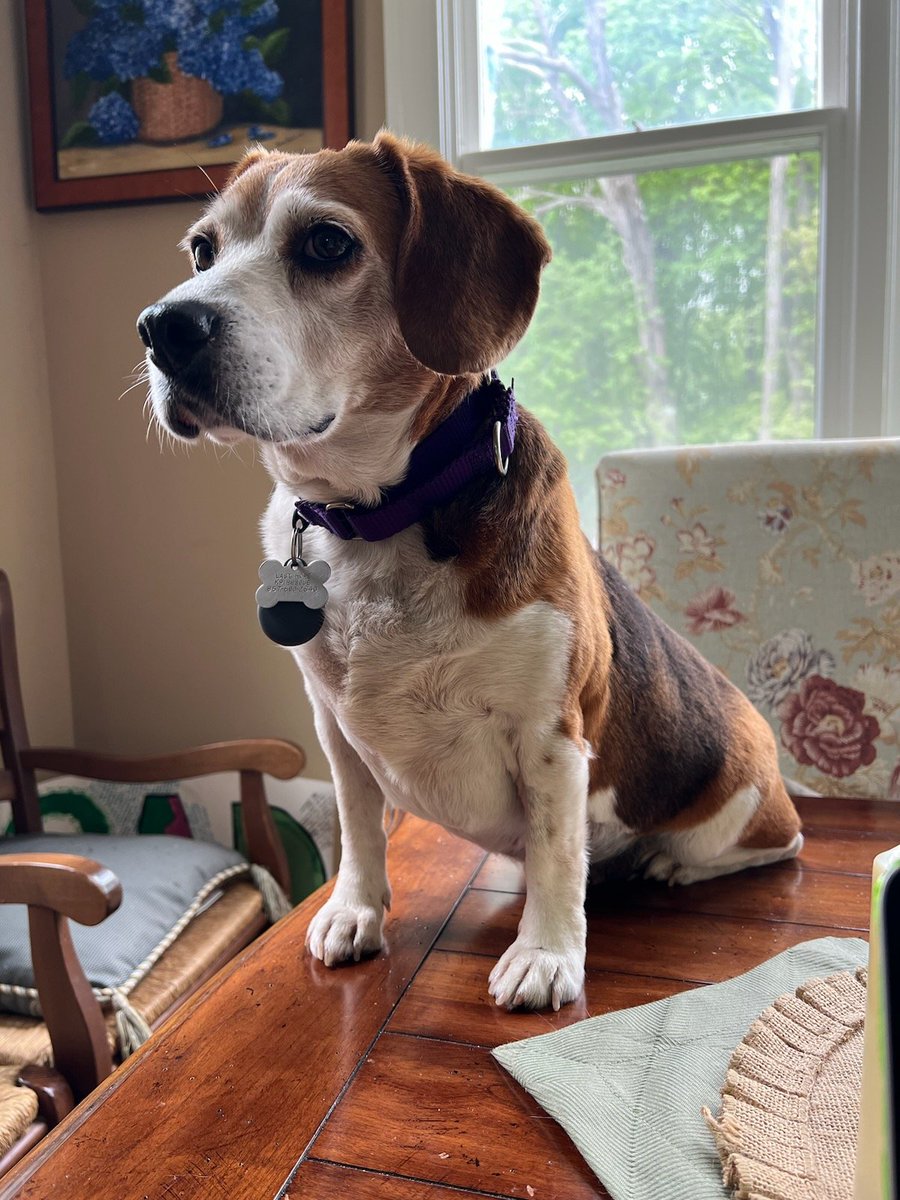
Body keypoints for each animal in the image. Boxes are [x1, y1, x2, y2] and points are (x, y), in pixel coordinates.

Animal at [139, 131, 801, 1012]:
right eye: (202, 250)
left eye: (326, 244)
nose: (162, 328)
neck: (378, 516)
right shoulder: (334, 730)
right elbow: (358, 832)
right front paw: (356, 911)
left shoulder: (552, 734)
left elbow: (556, 853)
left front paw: (547, 954)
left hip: (745, 808)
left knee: (764, 846)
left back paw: (667, 859)